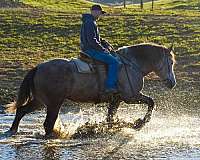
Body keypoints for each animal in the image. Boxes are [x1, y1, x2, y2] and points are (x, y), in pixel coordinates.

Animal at [5, 42, 177, 138]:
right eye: (171, 62)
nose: (172, 83)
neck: (131, 64)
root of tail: (38, 67)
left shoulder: (117, 99)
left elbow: (110, 118)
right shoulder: (131, 97)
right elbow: (151, 102)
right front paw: (140, 122)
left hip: (40, 101)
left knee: (21, 110)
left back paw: (12, 130)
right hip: (54, 103)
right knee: (48, 123)